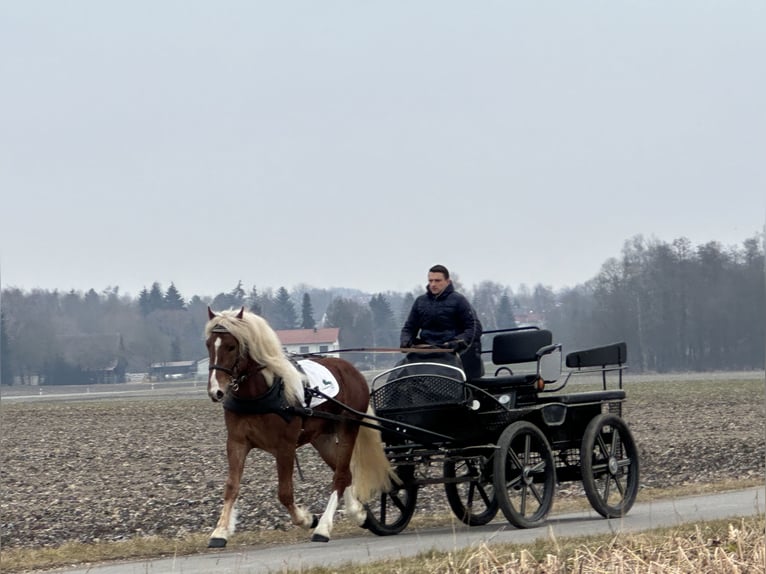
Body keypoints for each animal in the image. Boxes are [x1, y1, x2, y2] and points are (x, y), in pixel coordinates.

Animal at [206, 308, 396, 548]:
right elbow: (231, 486)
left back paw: (324, 527)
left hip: (348, 428)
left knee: (340, 476)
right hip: (322, 438)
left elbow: (285, 493)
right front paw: (220, 532)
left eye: (231, 346)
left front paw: (307, 519)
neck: (262, 393)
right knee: (345, 473)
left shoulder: (285, 447)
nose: (216, 391)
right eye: (208, 344)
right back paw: (358, 512)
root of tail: (351, 370)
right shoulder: (237, 442)